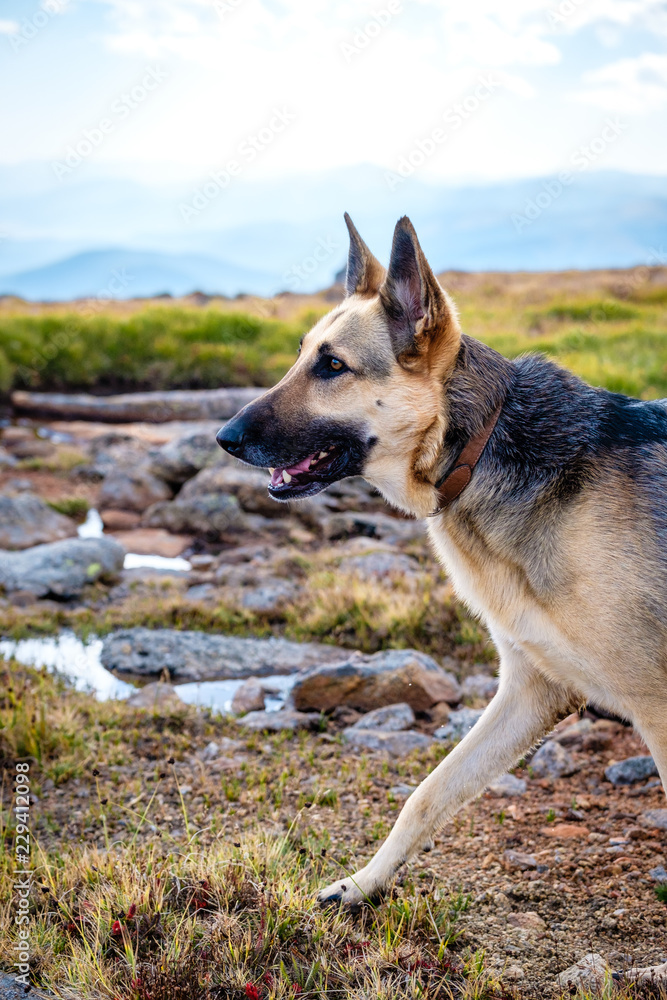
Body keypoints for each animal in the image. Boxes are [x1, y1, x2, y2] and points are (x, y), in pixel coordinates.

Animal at [219, 217, 667, 976]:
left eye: (331, 366)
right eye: (303, 356)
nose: (224, 437)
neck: (477, 448)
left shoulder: (656, 706)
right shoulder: (531, 692)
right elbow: (427, 795)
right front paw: (363, 885)